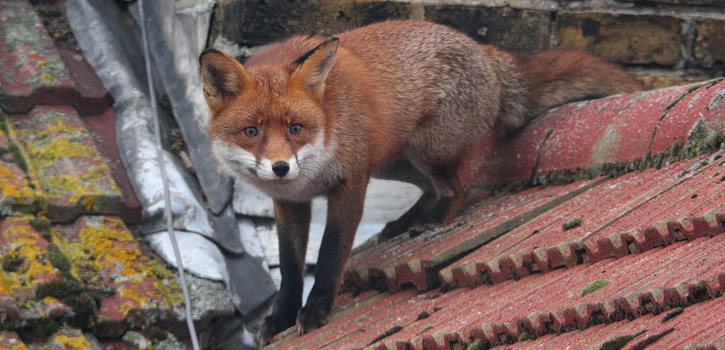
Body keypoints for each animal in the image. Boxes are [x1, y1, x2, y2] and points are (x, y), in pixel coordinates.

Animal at [199, 19, 640, 342]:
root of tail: (486, 53)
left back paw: (428, 220)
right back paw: (404, 222)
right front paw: (281, 319)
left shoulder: (351, 182)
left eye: (295, 128)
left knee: (456, 189)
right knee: (434, 188)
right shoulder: (290, 203)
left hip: (425, 150)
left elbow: (329, 253)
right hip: (394, 161)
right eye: (252, 132)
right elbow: (291, 269)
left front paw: (317, 309)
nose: (280, 168)